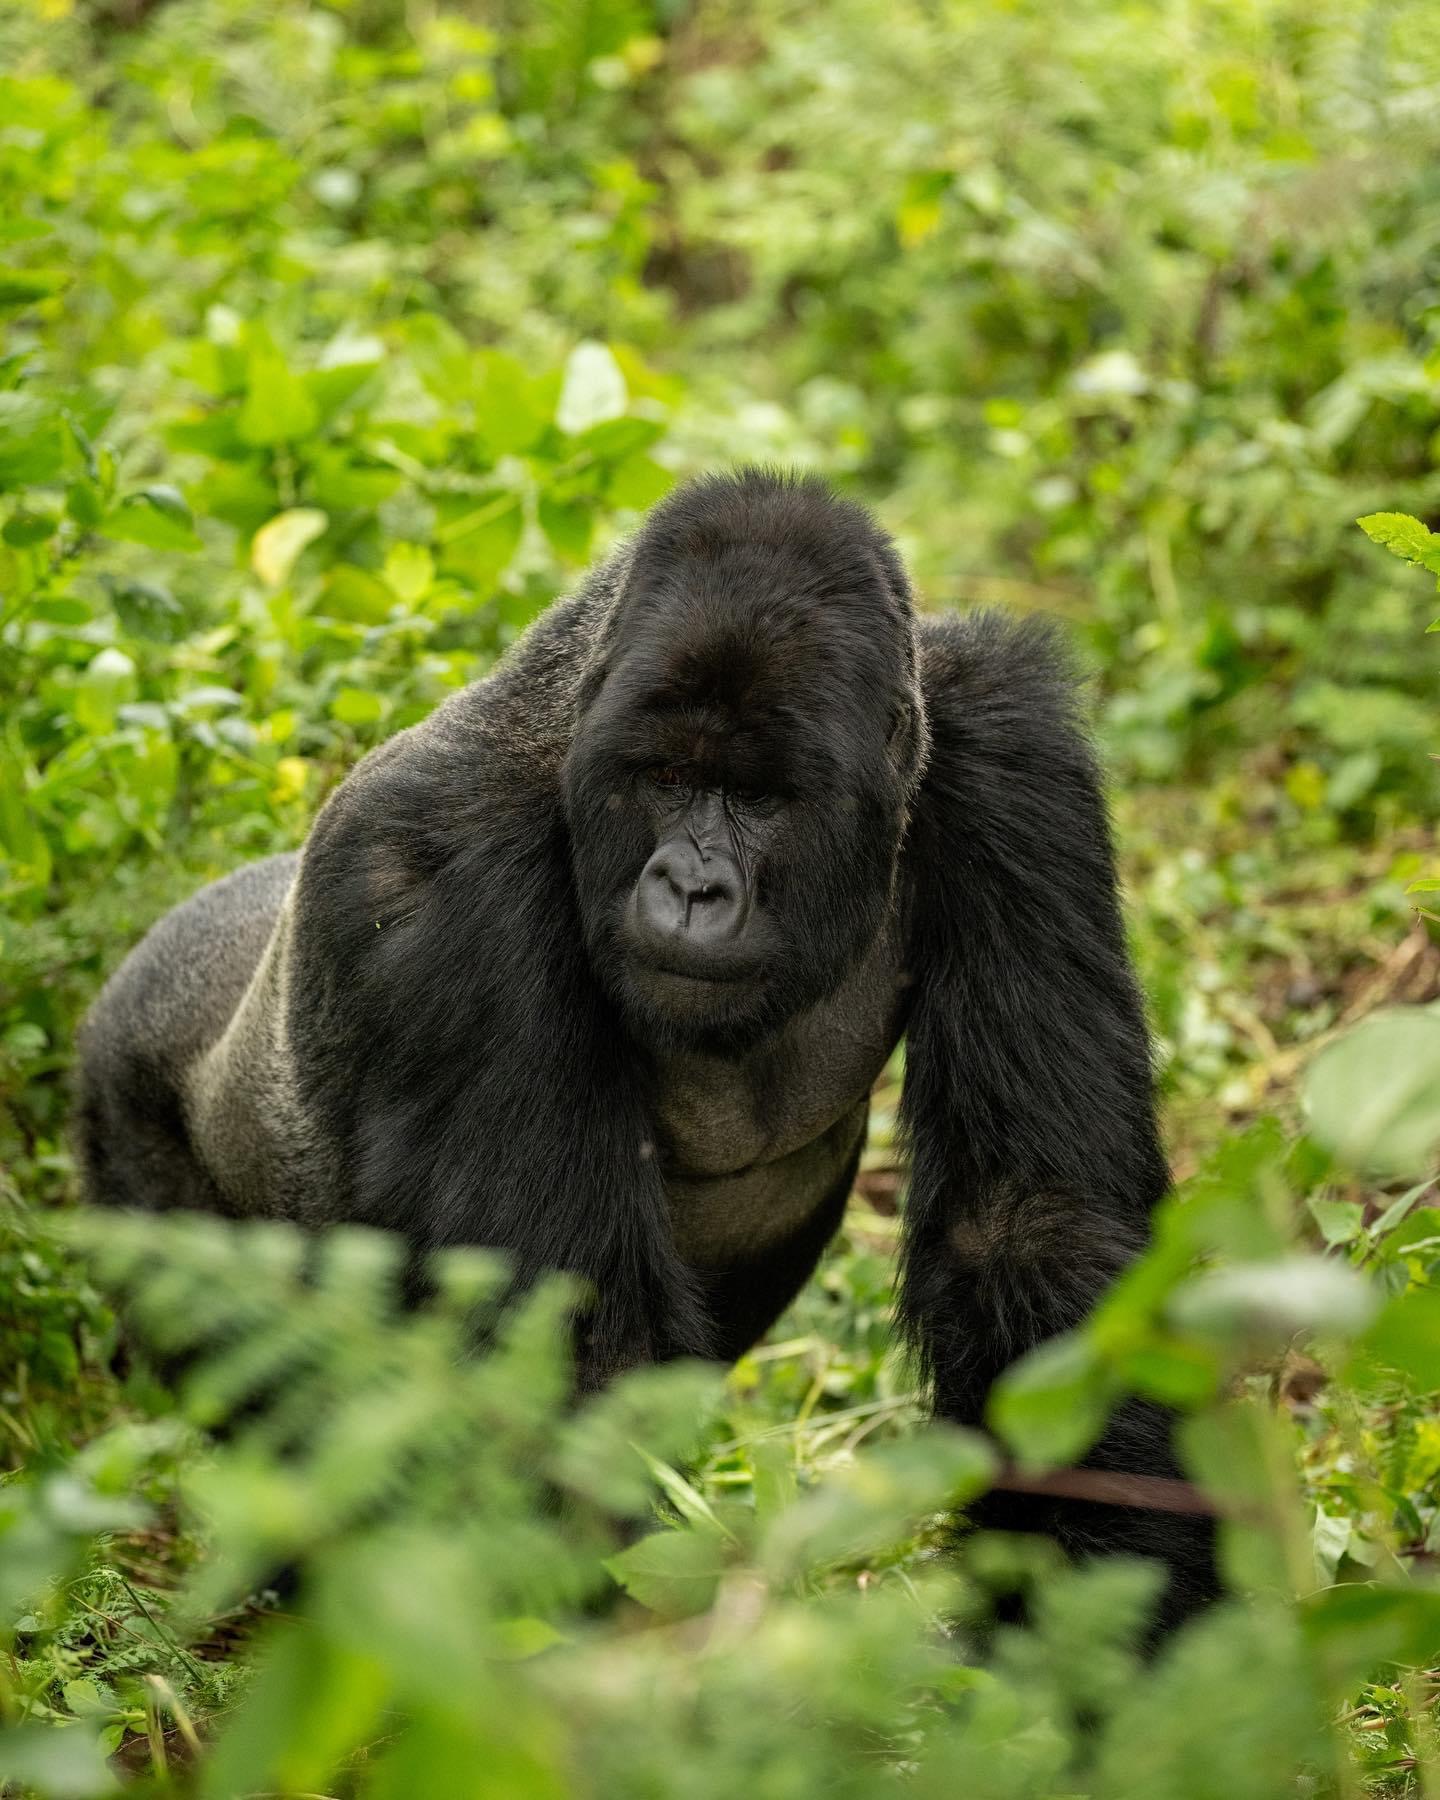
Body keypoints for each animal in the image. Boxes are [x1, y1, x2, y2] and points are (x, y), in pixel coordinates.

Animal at [70, 468, 1216, 1634]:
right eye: (664, 777)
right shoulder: (438, 862)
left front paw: (1100, 1611)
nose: (692, 887)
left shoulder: (1009, 752)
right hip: (130, 1131)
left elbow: (1030, 1219)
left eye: (757, 797)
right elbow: (563, 1346)